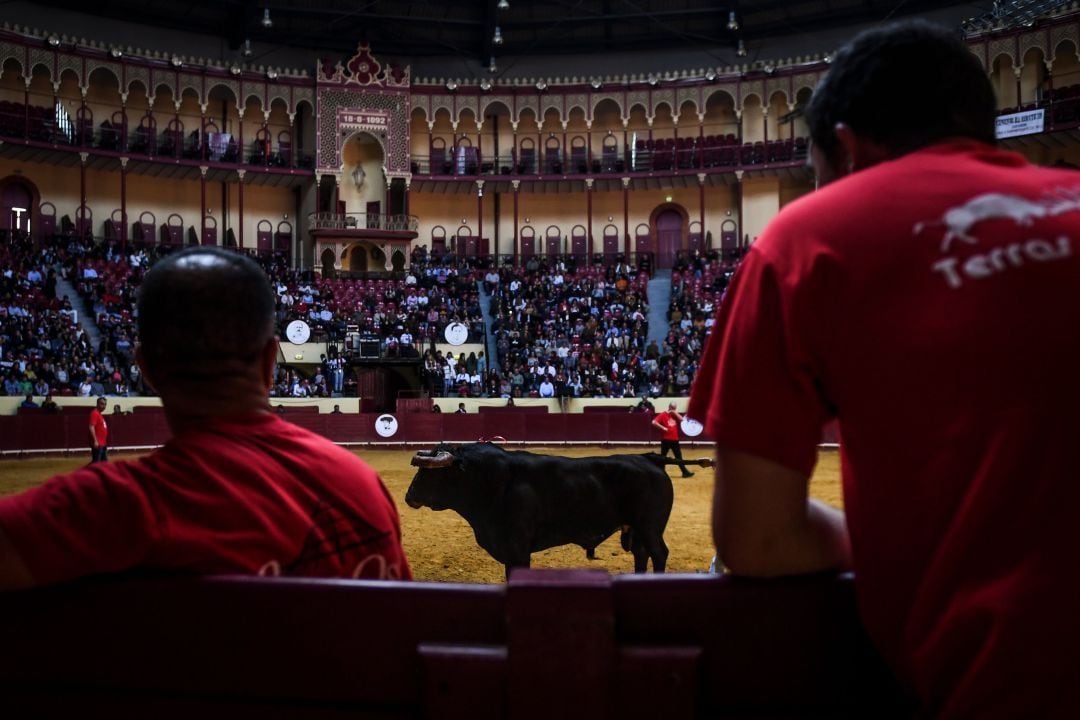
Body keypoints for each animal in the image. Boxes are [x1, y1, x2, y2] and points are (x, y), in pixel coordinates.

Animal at [406, 442, 717, 578]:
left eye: (430, 473)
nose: (409, 497)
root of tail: (648, 457)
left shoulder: (518, 549)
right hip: (637, 527)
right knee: (642, 554)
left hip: (651, 526)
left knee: (659, 553)